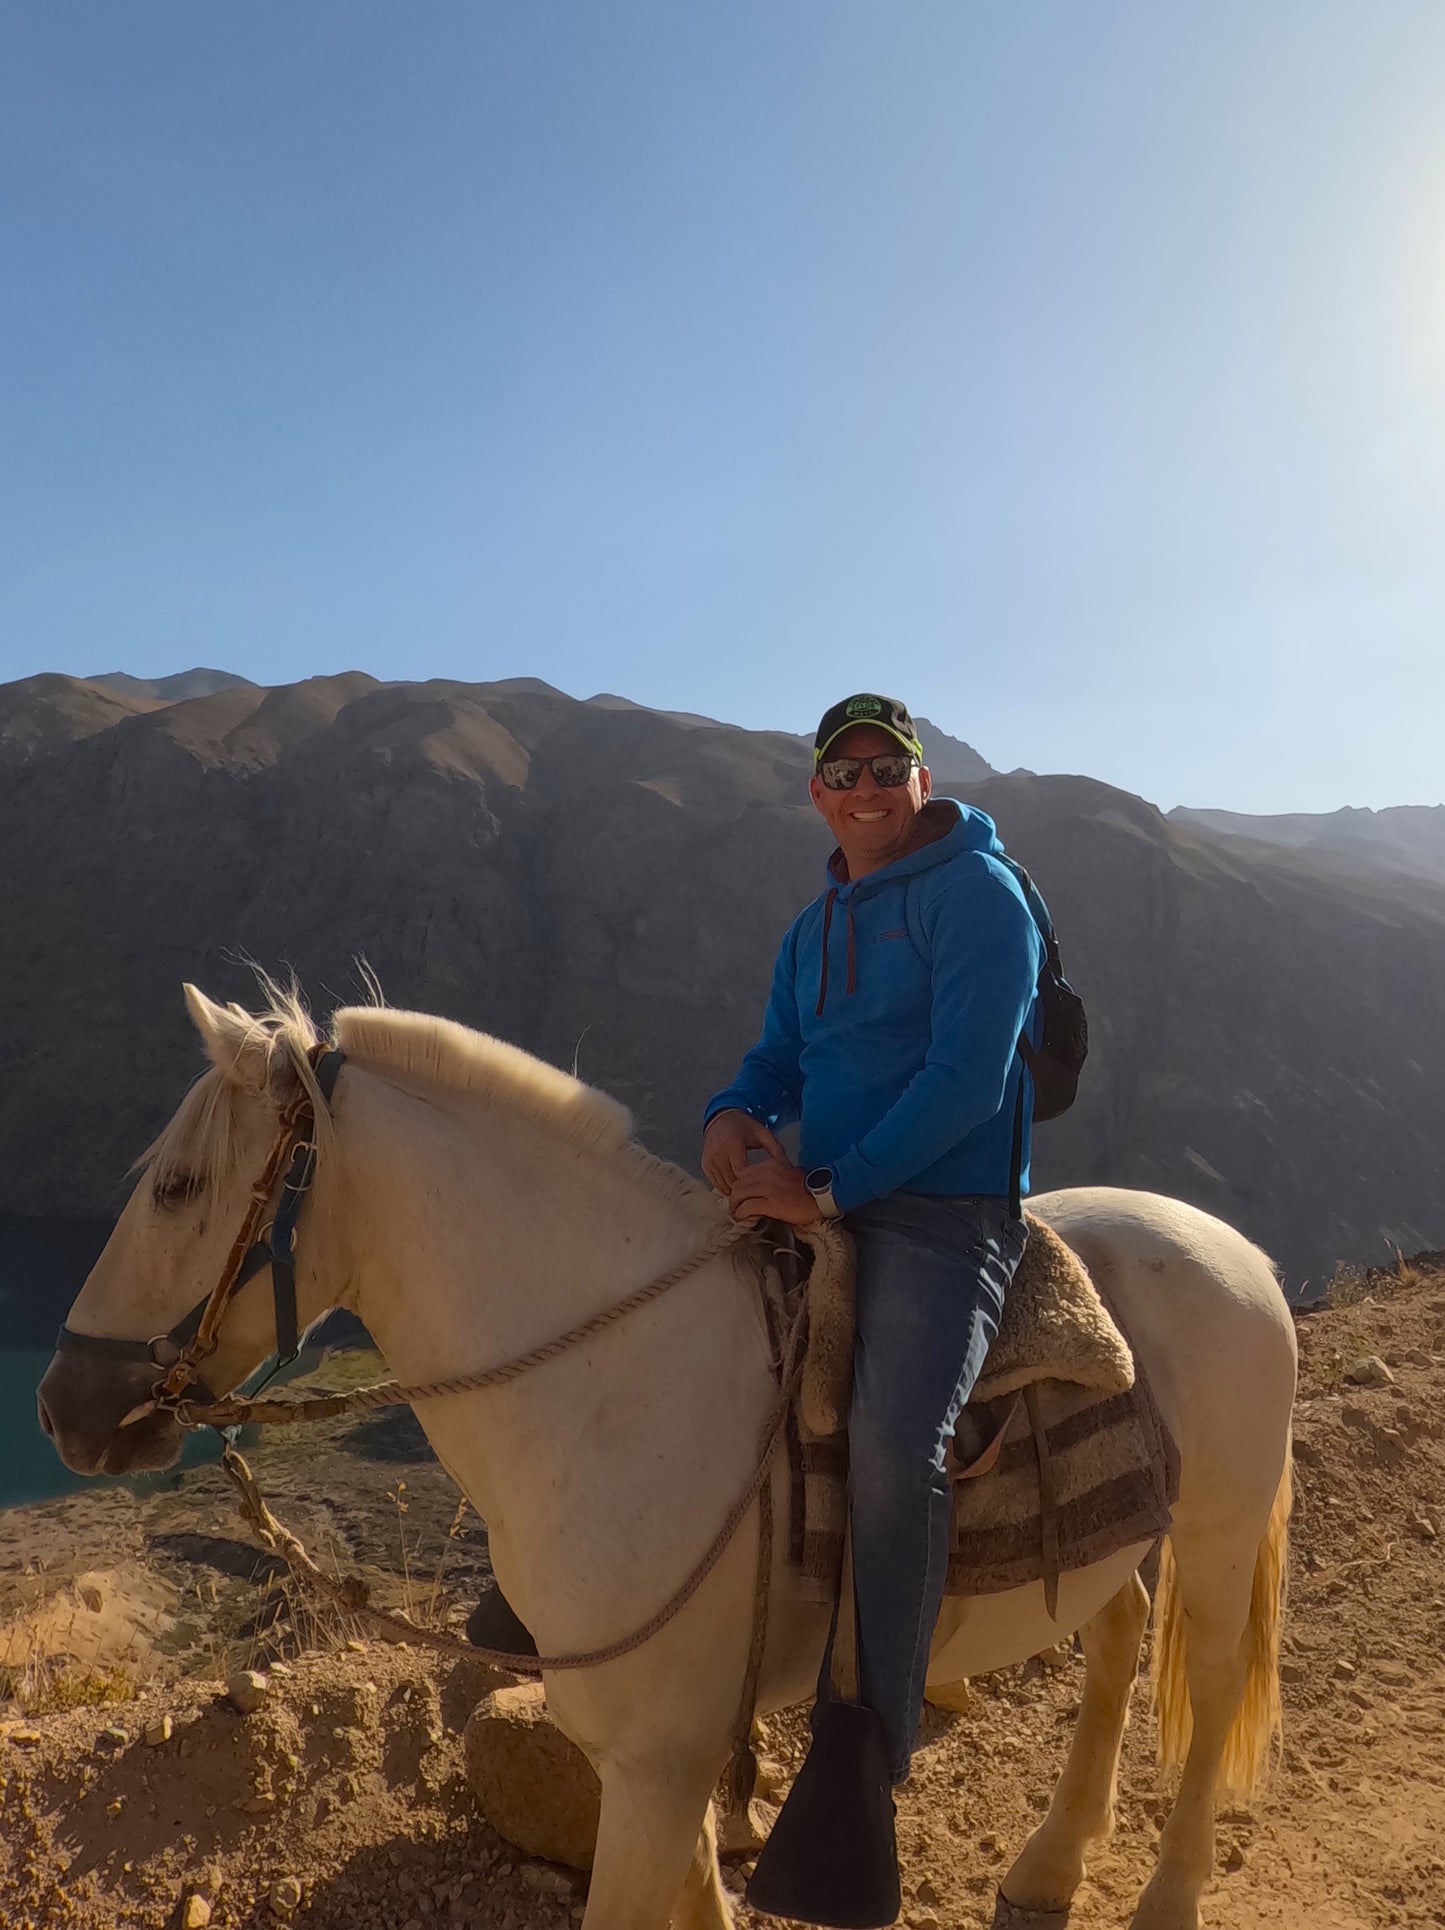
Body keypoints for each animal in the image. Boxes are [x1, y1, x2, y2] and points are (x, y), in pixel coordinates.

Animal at [36, 995, 1296, 1930]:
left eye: (177, 1187)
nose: (58, 1406)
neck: (611, 1391)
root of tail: (1231, 1245)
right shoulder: (658, 1767)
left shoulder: (655, 1768)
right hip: (1118, 1539)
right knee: (1119, 1633)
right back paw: (1050, 1863)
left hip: (1219, 1528)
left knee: (1210, 1680)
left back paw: (1163, 1898)